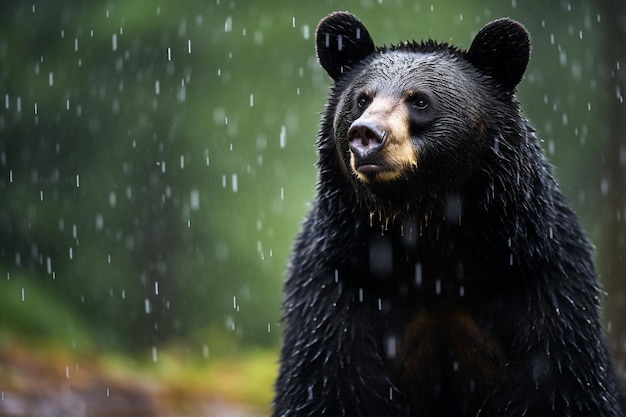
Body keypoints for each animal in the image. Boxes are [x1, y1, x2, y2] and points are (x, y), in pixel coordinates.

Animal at [272, 10, 624, 416]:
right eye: (361, 99)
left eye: (420, 101)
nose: (366, 135)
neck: (430, 231)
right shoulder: (339, 281)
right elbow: (328, 380)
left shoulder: (542, 281)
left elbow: (558, 383)